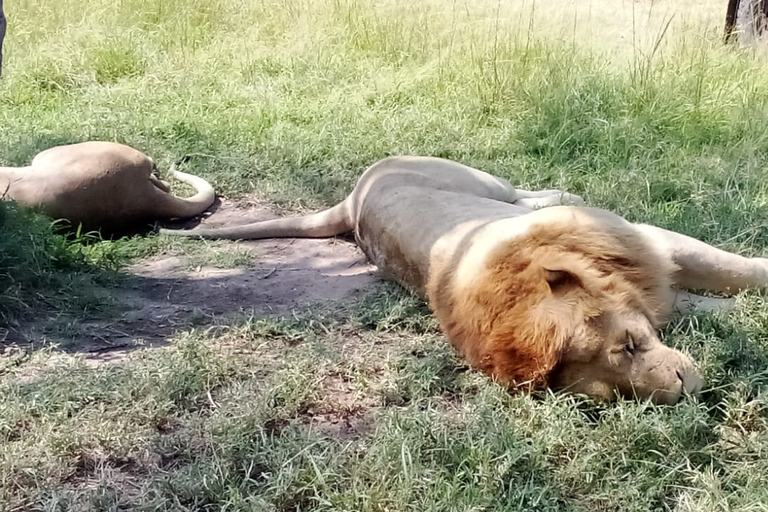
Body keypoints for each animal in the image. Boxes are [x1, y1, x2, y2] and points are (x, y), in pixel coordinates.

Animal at [162, 156, 768, 404]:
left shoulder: (653, 243)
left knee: (525, 192)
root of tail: (353, 198)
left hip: (480, 180)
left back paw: (563, 191)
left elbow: (735, 270)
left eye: (630, 343)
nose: (686, 392)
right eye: (612, 396)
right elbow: (712, 301)